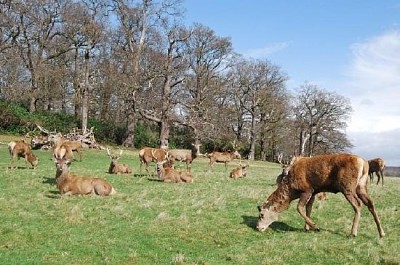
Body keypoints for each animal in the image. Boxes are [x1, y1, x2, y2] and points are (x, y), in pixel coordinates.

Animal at [256, 153, 384, 237]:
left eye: (261, 215)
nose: (258, 228)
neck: (291, 190)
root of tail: (364, 163)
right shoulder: (314, 191)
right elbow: (309, 208)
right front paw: (307, 228)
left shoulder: (307, 189)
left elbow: (299, 208)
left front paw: (315, 227)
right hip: (362, 186)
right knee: (371, 203)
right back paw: (381, 233)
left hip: (347, 186)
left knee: (358, 204)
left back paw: (353, 233)